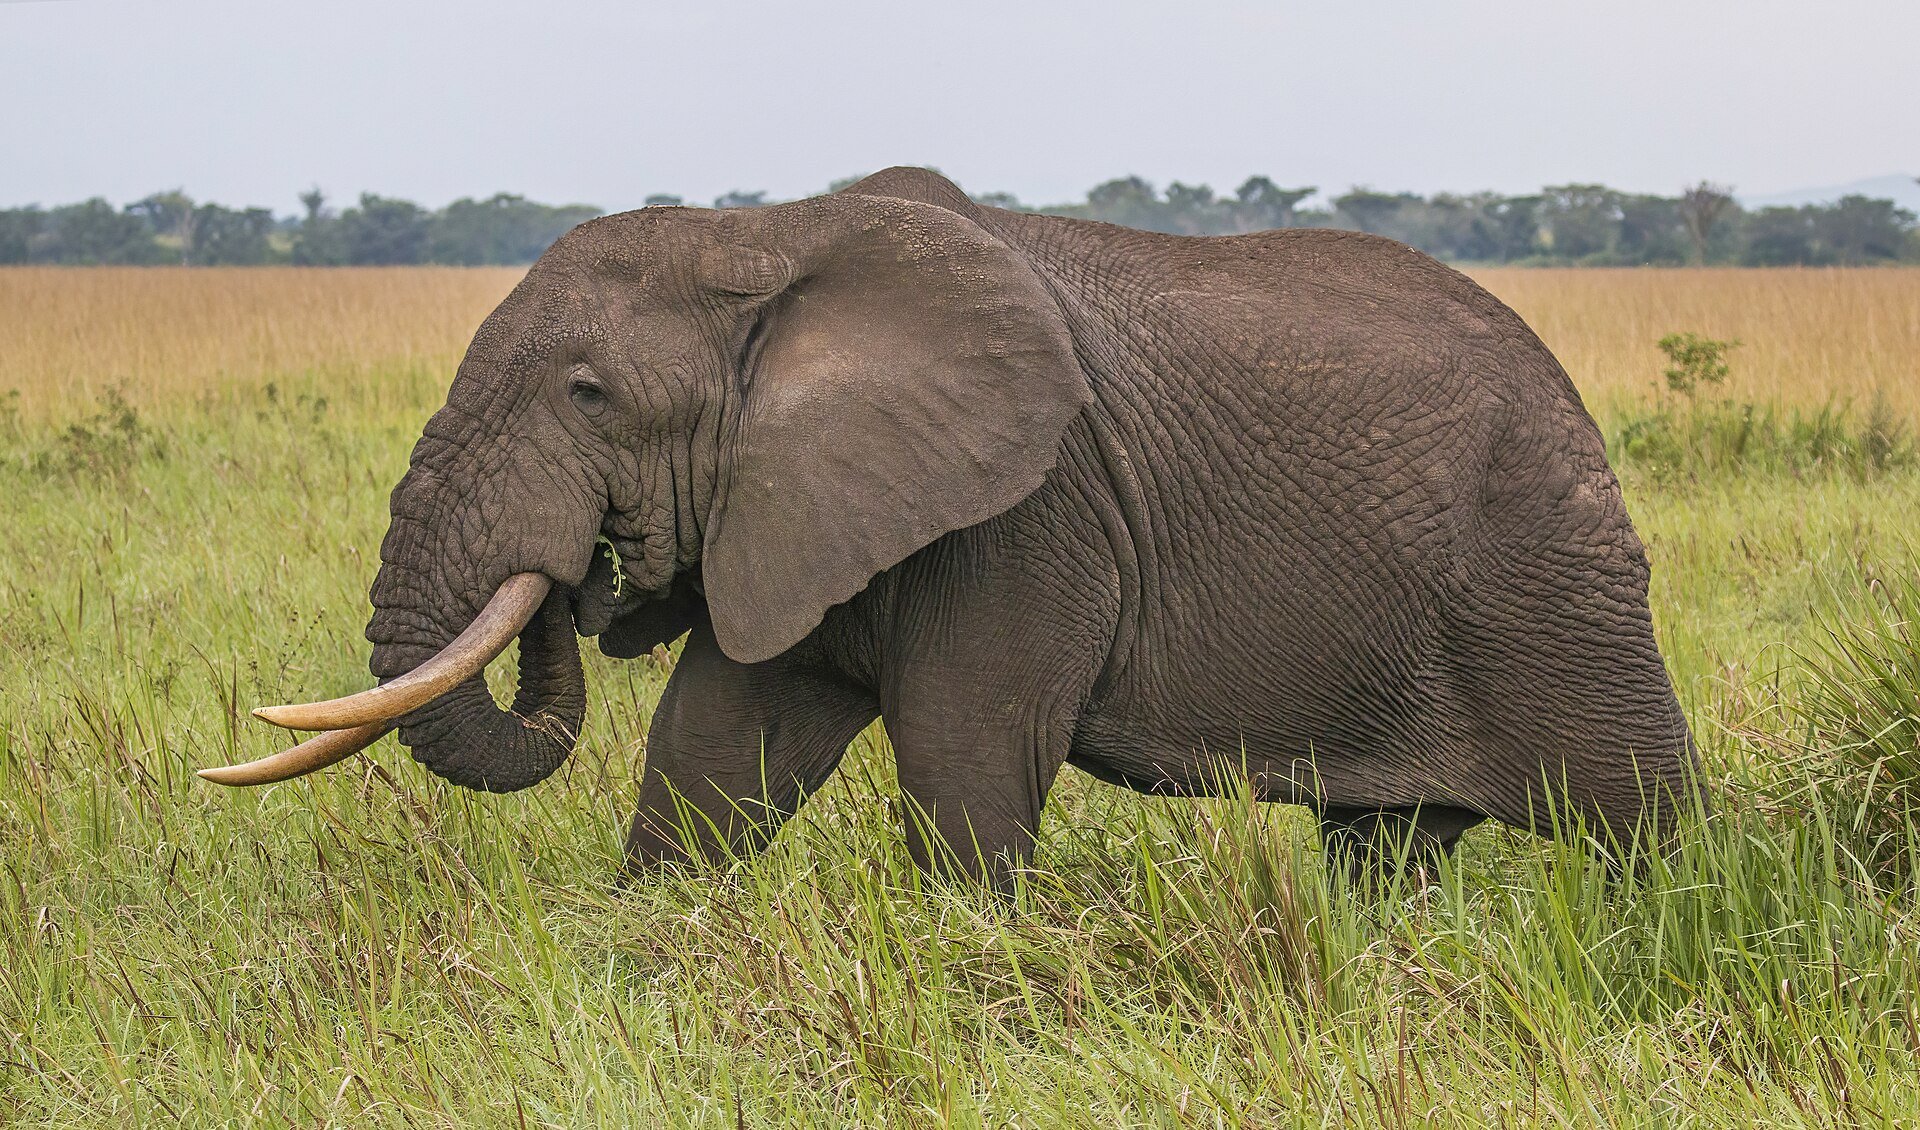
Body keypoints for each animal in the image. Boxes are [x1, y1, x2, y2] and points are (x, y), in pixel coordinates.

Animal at [219, 166, 1699, 890]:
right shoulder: (802, 500)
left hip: (1552, 577)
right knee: (1385, 846)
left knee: (1640, 821)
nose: (589, 575)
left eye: (588, 395)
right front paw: (648, 952)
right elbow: (712, 748)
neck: (768, 237)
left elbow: (964, 754)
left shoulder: (1030, 515)